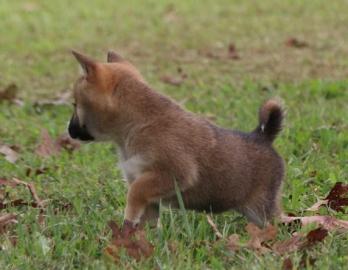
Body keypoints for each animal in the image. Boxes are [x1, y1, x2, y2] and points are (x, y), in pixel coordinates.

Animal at [68, 50, 286, 228]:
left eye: (75, 104)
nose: (68, 130)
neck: (138, 123)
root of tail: (262, 136)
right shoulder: (146, 189)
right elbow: (146, 218)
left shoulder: (173, 174)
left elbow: (135, 193)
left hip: (261, 210)